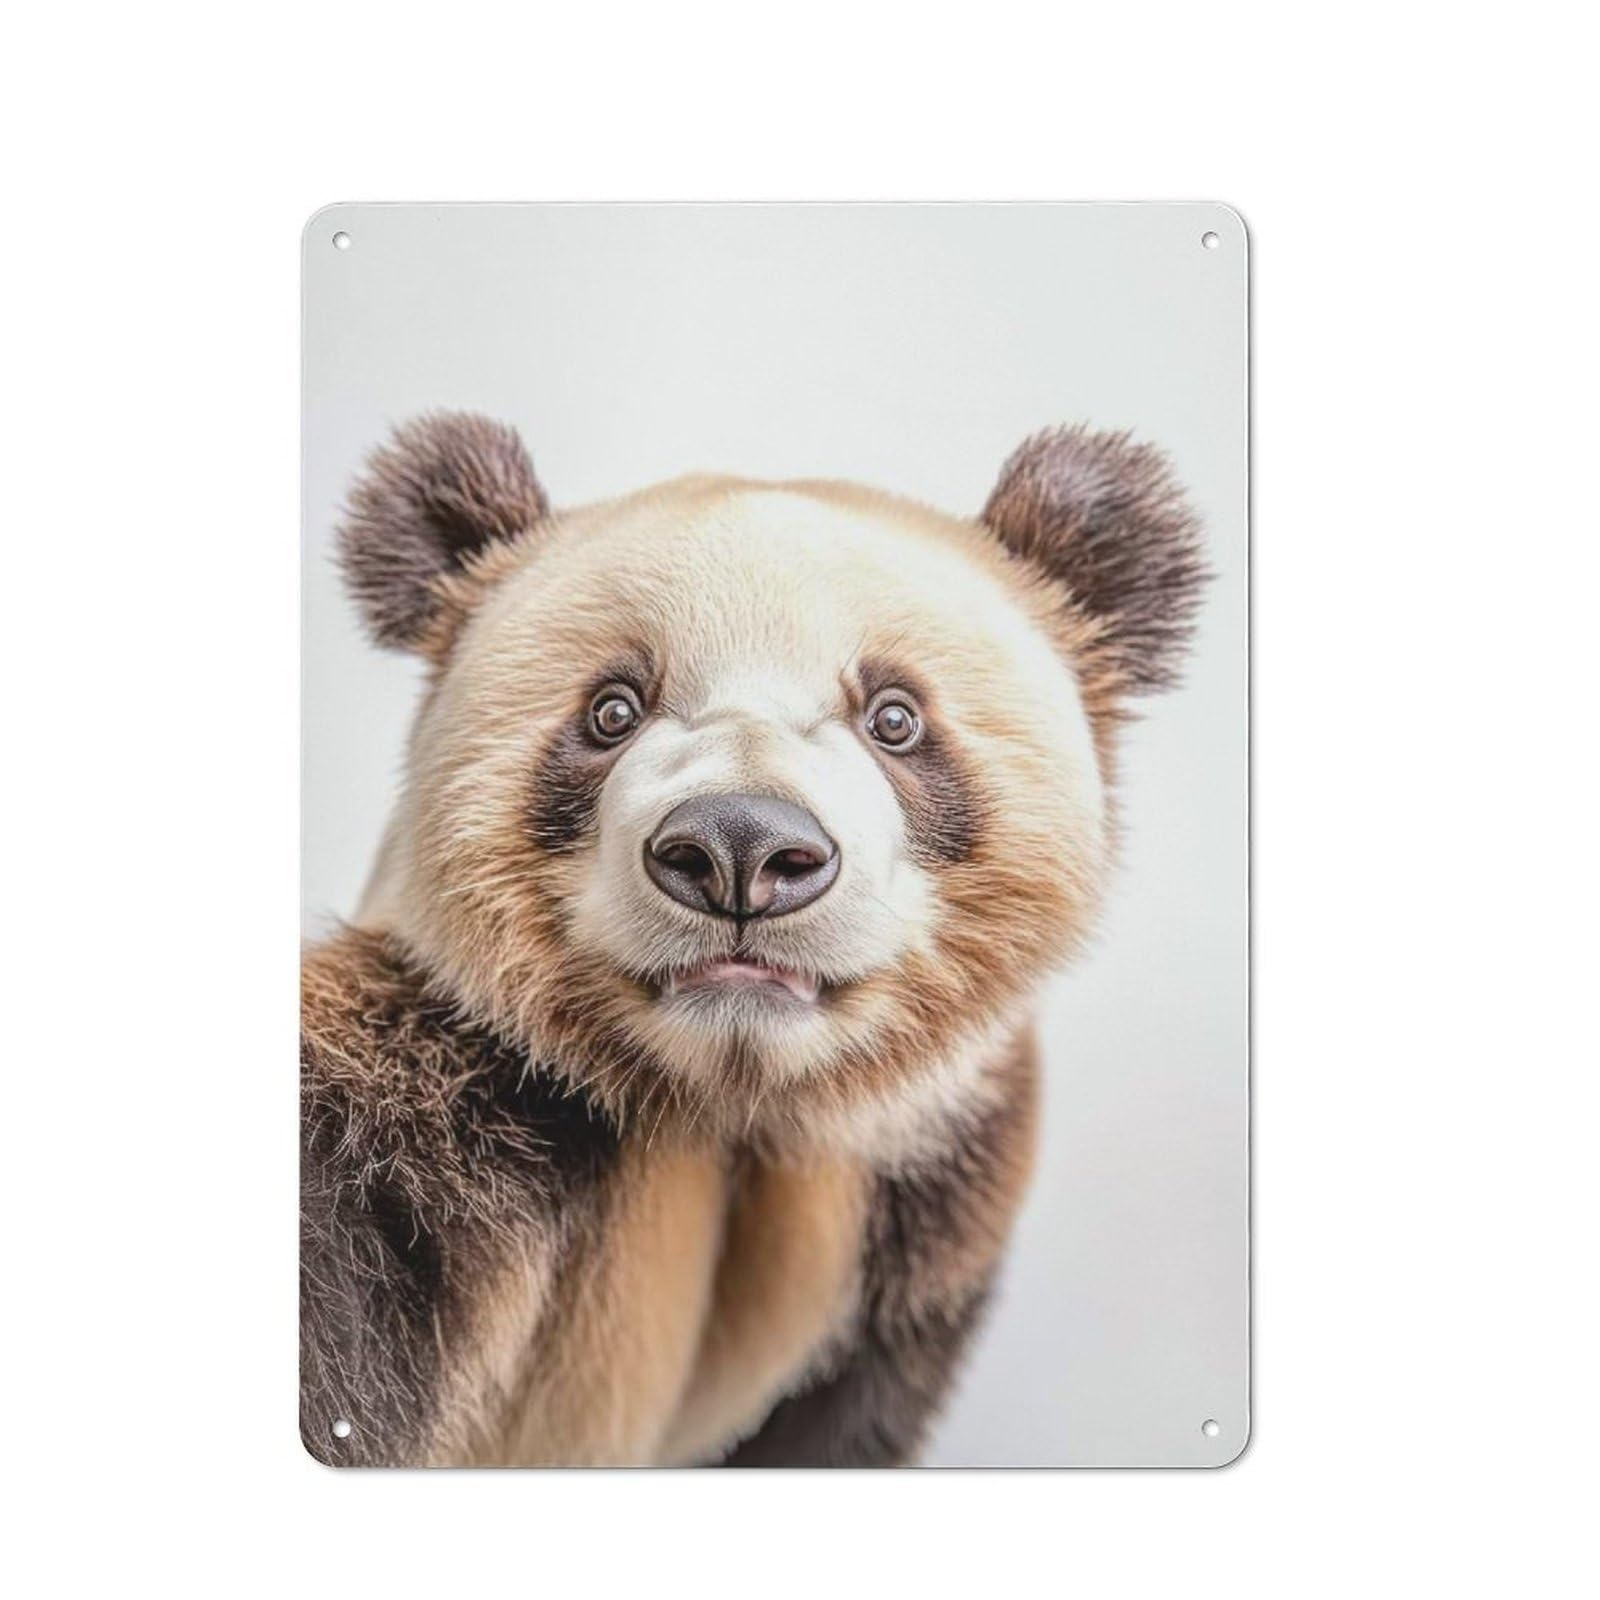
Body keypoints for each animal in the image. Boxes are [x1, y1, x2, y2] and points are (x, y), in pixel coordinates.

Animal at [301, 412, 1206, 1467]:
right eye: (612, 709)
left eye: (895, 717)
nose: (741, 848)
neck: (728, 1102)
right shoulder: (431, 1109)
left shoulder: (921, 1186)